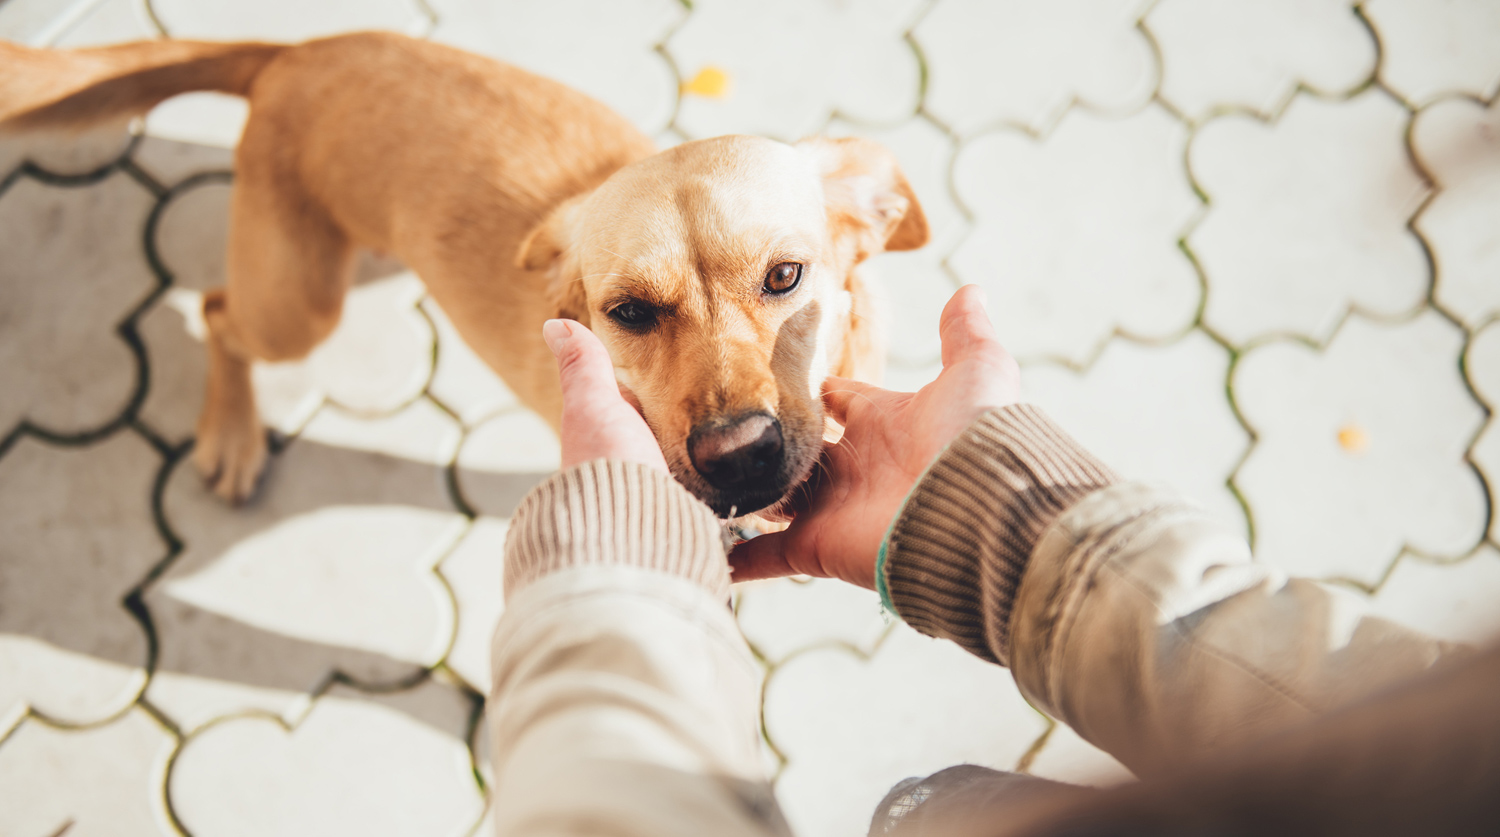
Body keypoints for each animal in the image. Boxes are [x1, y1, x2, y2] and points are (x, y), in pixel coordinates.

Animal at [0, 32, 924, 519]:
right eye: (628, 311)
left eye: (785, 276)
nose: (738, 457)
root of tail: (294, 52)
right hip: (297, 304)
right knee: (221, 312)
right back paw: (231, 431)